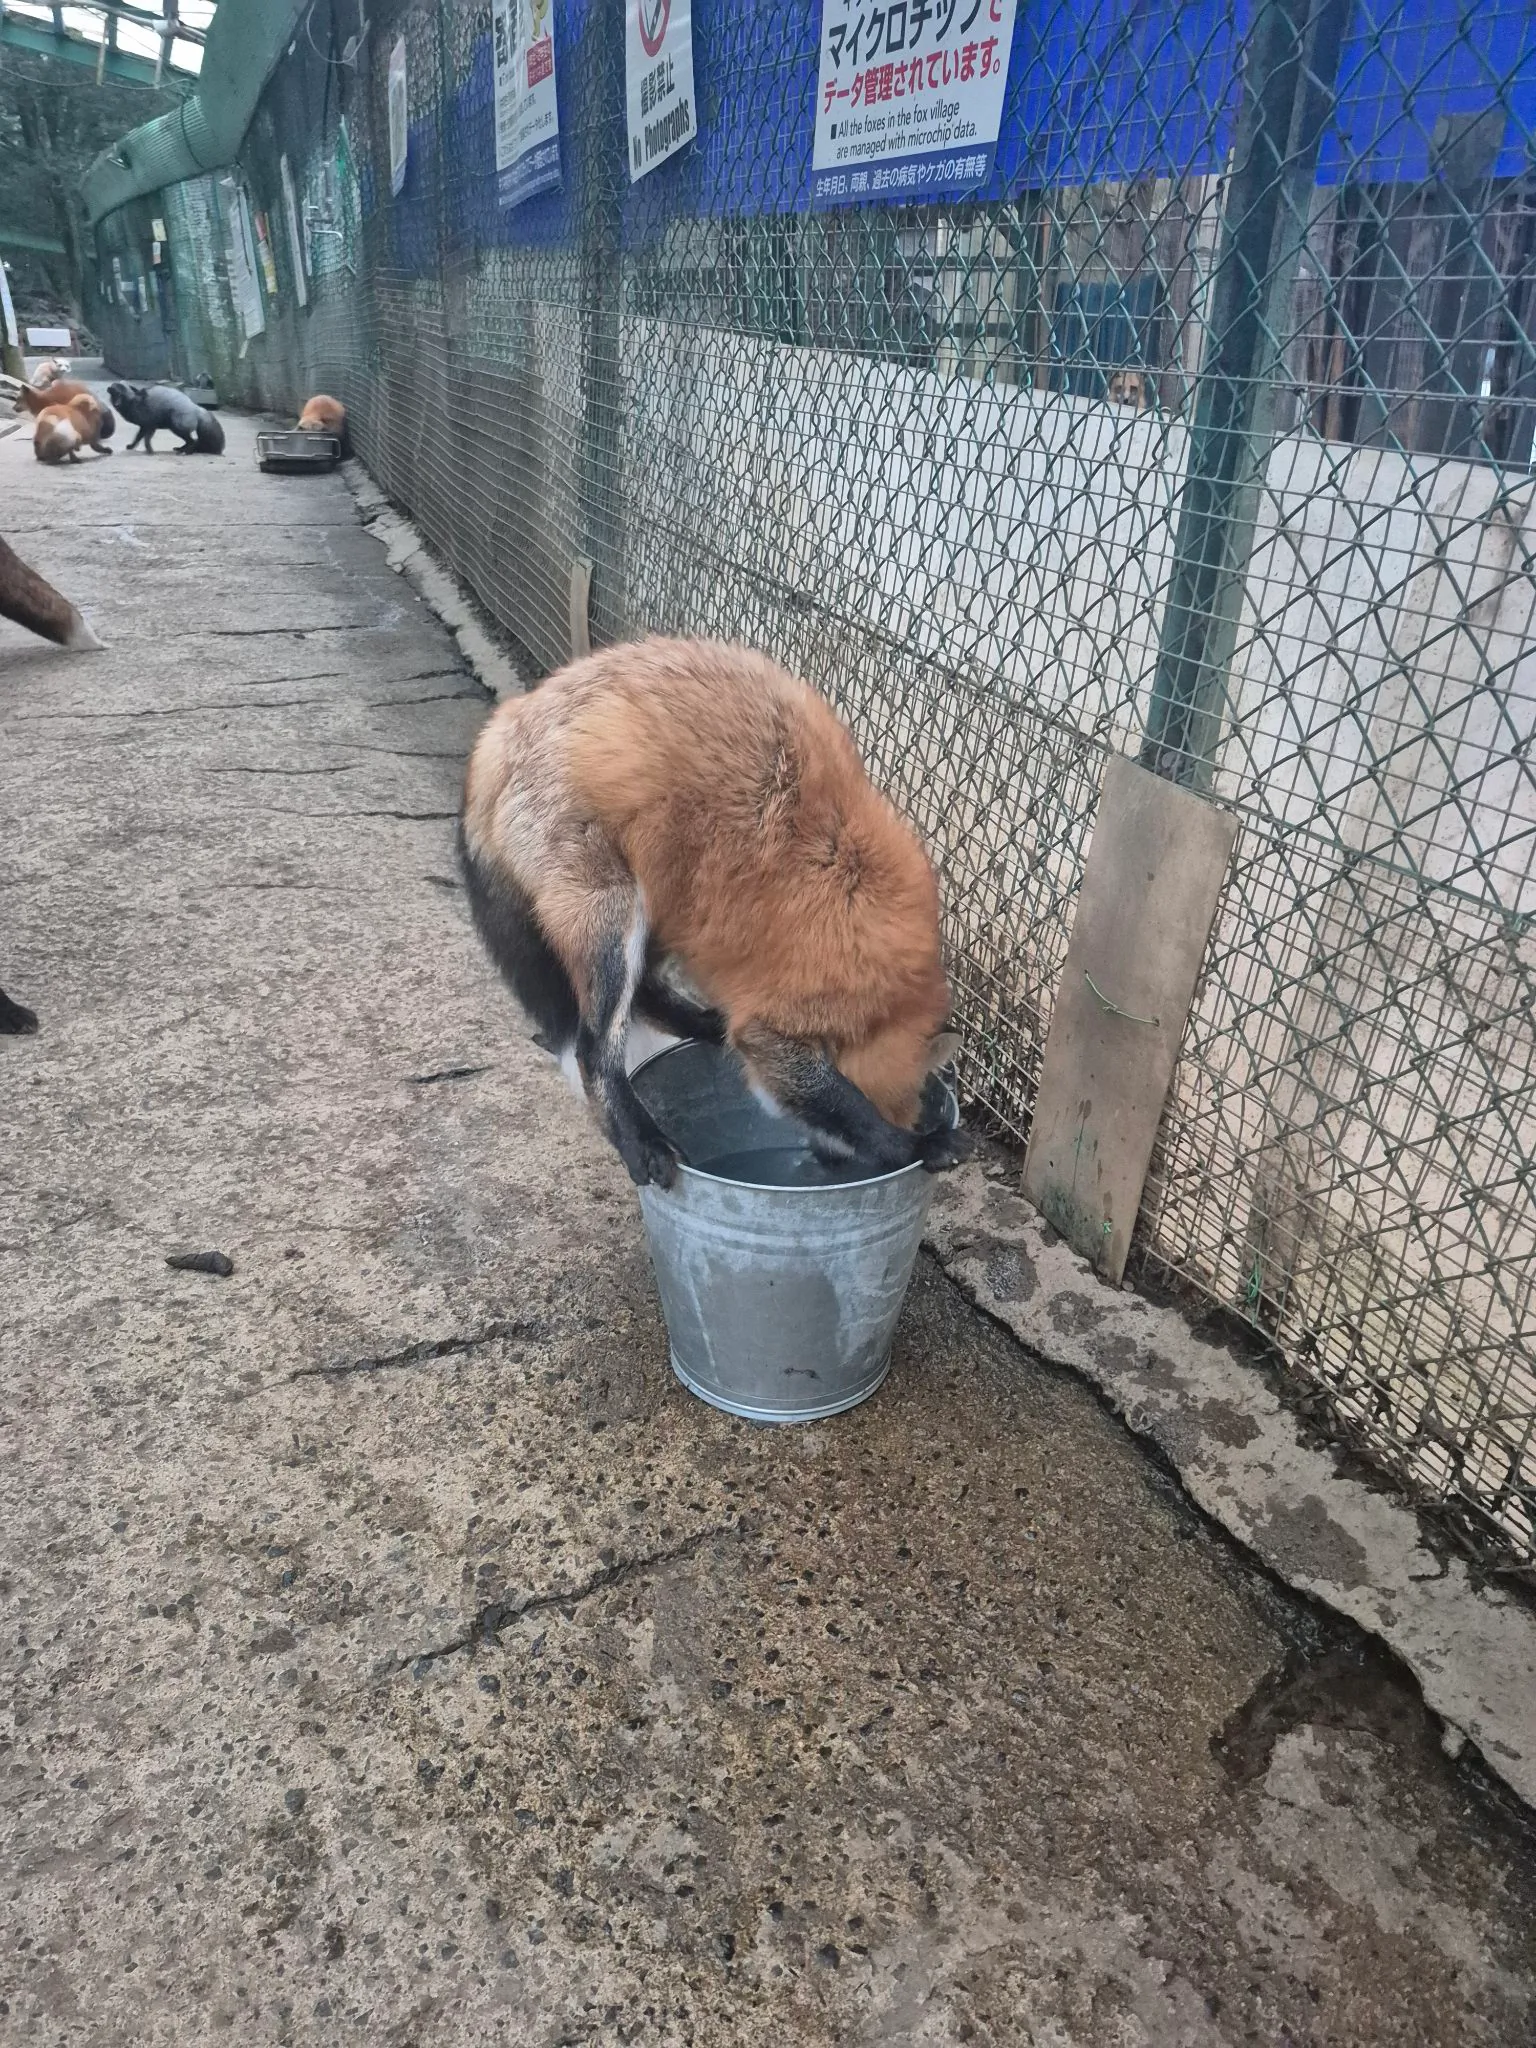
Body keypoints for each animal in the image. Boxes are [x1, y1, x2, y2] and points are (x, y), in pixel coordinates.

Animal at [459, 637, 965, 1188]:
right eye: (900, 1107)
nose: (827, 1166)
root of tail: (508, 720)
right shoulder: (778, 1026)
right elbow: (843, 1103)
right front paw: (910, 1146)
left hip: (665, 906)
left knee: (645, 993)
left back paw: (703, 1026)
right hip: (615, 915)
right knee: (594, 1051)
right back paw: (643, 1142)